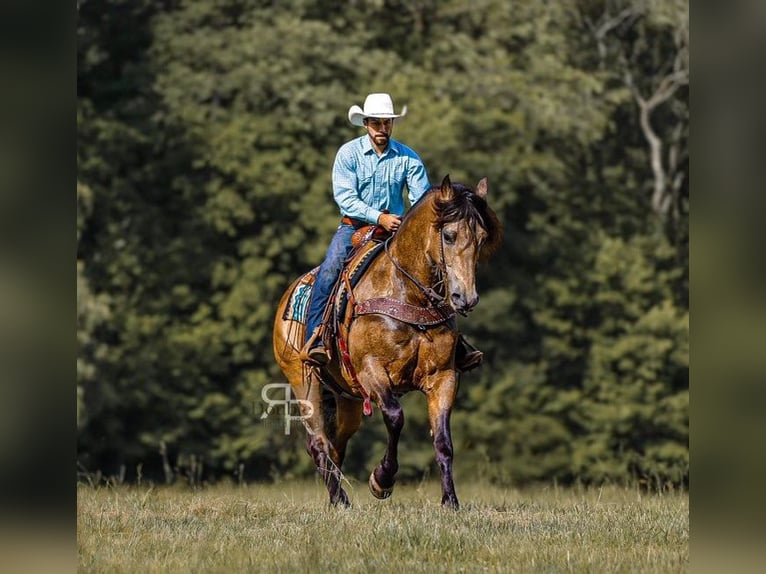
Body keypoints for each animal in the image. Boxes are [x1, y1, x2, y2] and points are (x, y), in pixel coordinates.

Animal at [272, 176, 500, 508]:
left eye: (482, 238)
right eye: (449, 235)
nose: (465, 298)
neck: (408, 294)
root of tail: (288, 297)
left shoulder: (444, 377)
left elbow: (443, 441)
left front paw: (450, 501)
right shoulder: (373, 373)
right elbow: (395, 417)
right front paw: (382, 480)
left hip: (348, 397)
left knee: (337, 442)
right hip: (303, 379)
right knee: (318, 442)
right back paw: (340, 500)